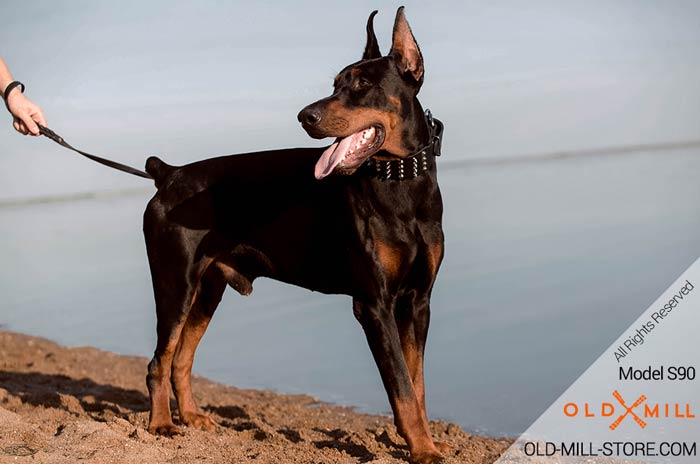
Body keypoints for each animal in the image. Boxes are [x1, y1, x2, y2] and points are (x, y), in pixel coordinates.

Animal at [144, 7, 442, 464]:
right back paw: (161, 424)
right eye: (335, 84)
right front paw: (423, 450)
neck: (401, 182)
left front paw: (426, 441)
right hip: (175, 285)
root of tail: (169, 174)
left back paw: (192, 417)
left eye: (363, 85)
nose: (306, 116)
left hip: (208, 289)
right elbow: (402, 387)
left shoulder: (419, 300)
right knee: (159, 361)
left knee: (181, 358)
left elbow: (418, 383)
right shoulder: (374, 304)